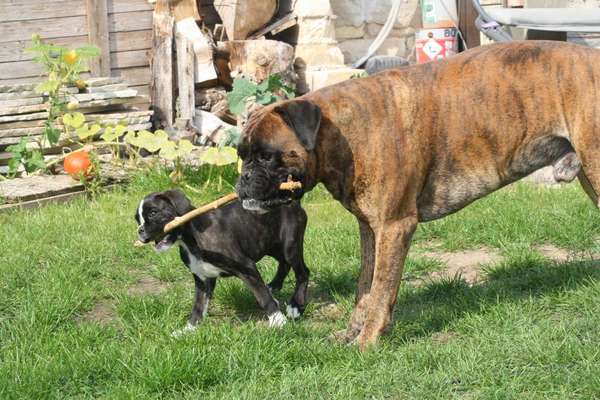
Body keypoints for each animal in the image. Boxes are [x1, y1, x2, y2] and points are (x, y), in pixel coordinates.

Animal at [234, 41, 600, 350]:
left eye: (267, 156)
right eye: (241, 155)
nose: (243, 180)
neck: (343, 134)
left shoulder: (394, 227)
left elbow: (382, 289)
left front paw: (367, 342)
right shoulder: (371, 230)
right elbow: (365, 287)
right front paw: (351, 333)